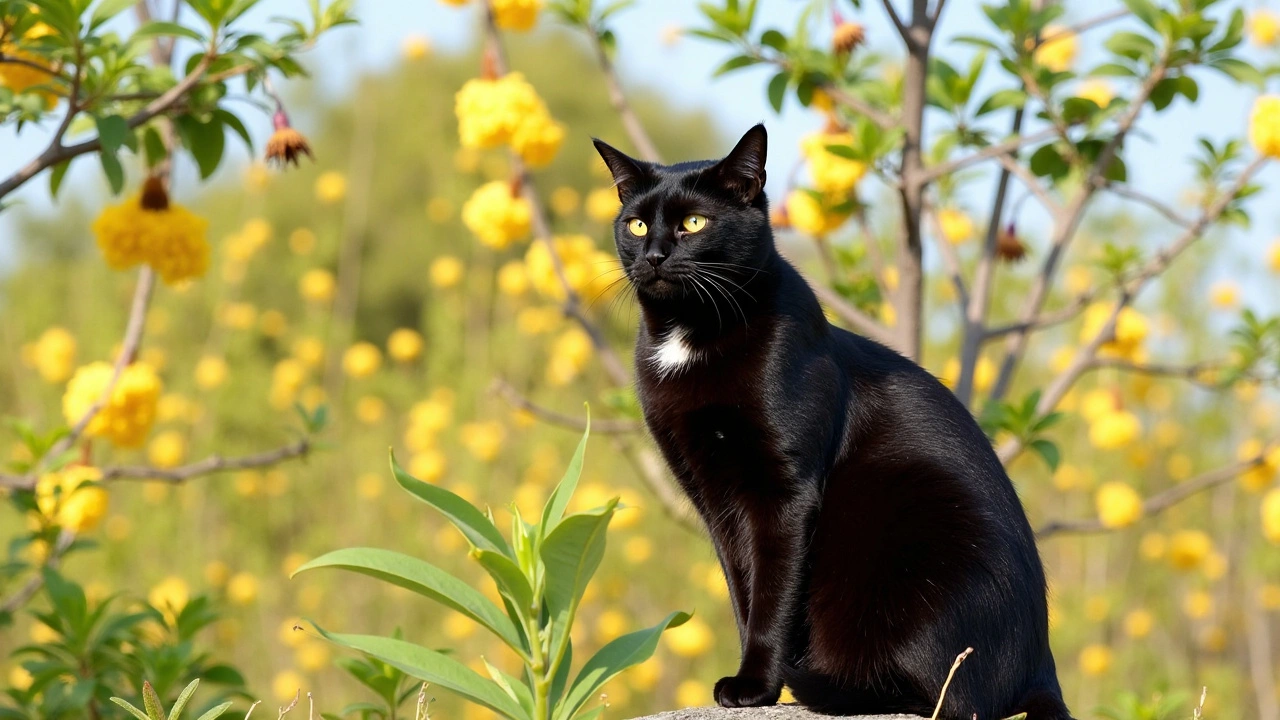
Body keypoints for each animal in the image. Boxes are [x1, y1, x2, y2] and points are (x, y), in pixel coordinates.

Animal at [593, 124, 1075, 717]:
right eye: (636, 224)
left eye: (694, 223)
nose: (656, 255)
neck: (690, 336)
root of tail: (1043, 667)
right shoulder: (712, 495)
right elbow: (744, 591)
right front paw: (757, 687)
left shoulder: (785, 490)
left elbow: (772, 596)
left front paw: (756, 685)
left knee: (948, 696)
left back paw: (830, 685)